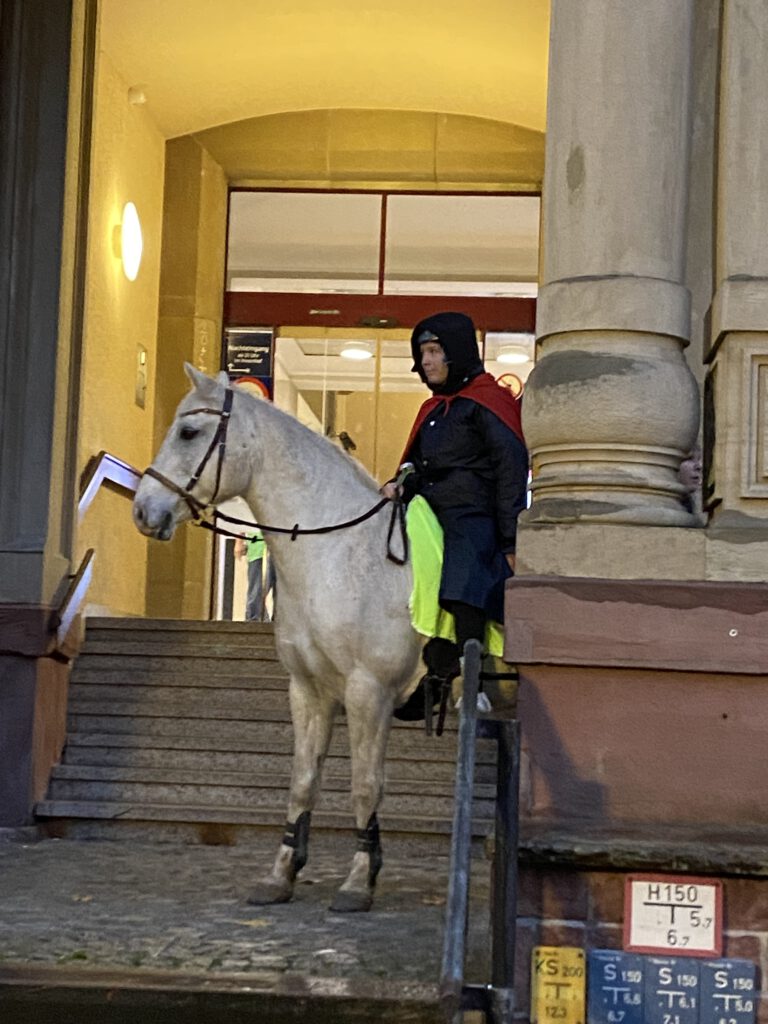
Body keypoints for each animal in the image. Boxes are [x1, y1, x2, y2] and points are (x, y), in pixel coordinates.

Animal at [132, 368, 421, 913]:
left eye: (188, 432)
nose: (143, 510)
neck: (337, 553)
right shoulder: (309, 691)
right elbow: (303, 782)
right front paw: (282, 872)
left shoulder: (369, 692)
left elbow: (365, 785)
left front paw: (358, 880)